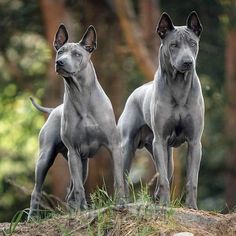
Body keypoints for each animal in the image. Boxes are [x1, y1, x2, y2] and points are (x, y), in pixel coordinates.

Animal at [29, 24, 125, 218]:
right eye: (60, 52)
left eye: (77, 54)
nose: (60, 62)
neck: (81, 95)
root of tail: (53, 110)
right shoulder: (73, 151)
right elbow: (80, 188)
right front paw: (84, 211)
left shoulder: (114, 146)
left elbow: (118, 179)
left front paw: (121, 203)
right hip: (47, 157)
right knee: (38, 191)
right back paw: (32, 218)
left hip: (84, 164)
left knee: (70, 193)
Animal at [119, 12, 204, 209]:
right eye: (174, 45)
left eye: (193, 43)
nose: (188, 62)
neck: (179, 85)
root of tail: (135, 92)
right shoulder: (159, 140)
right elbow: (164, 179)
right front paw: (165, 204)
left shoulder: (195, 142)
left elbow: (192, 180)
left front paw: (192, 207)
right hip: (129, 146)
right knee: (124, 178)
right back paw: (124, 201)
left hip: (168, 156)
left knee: (166, 173)